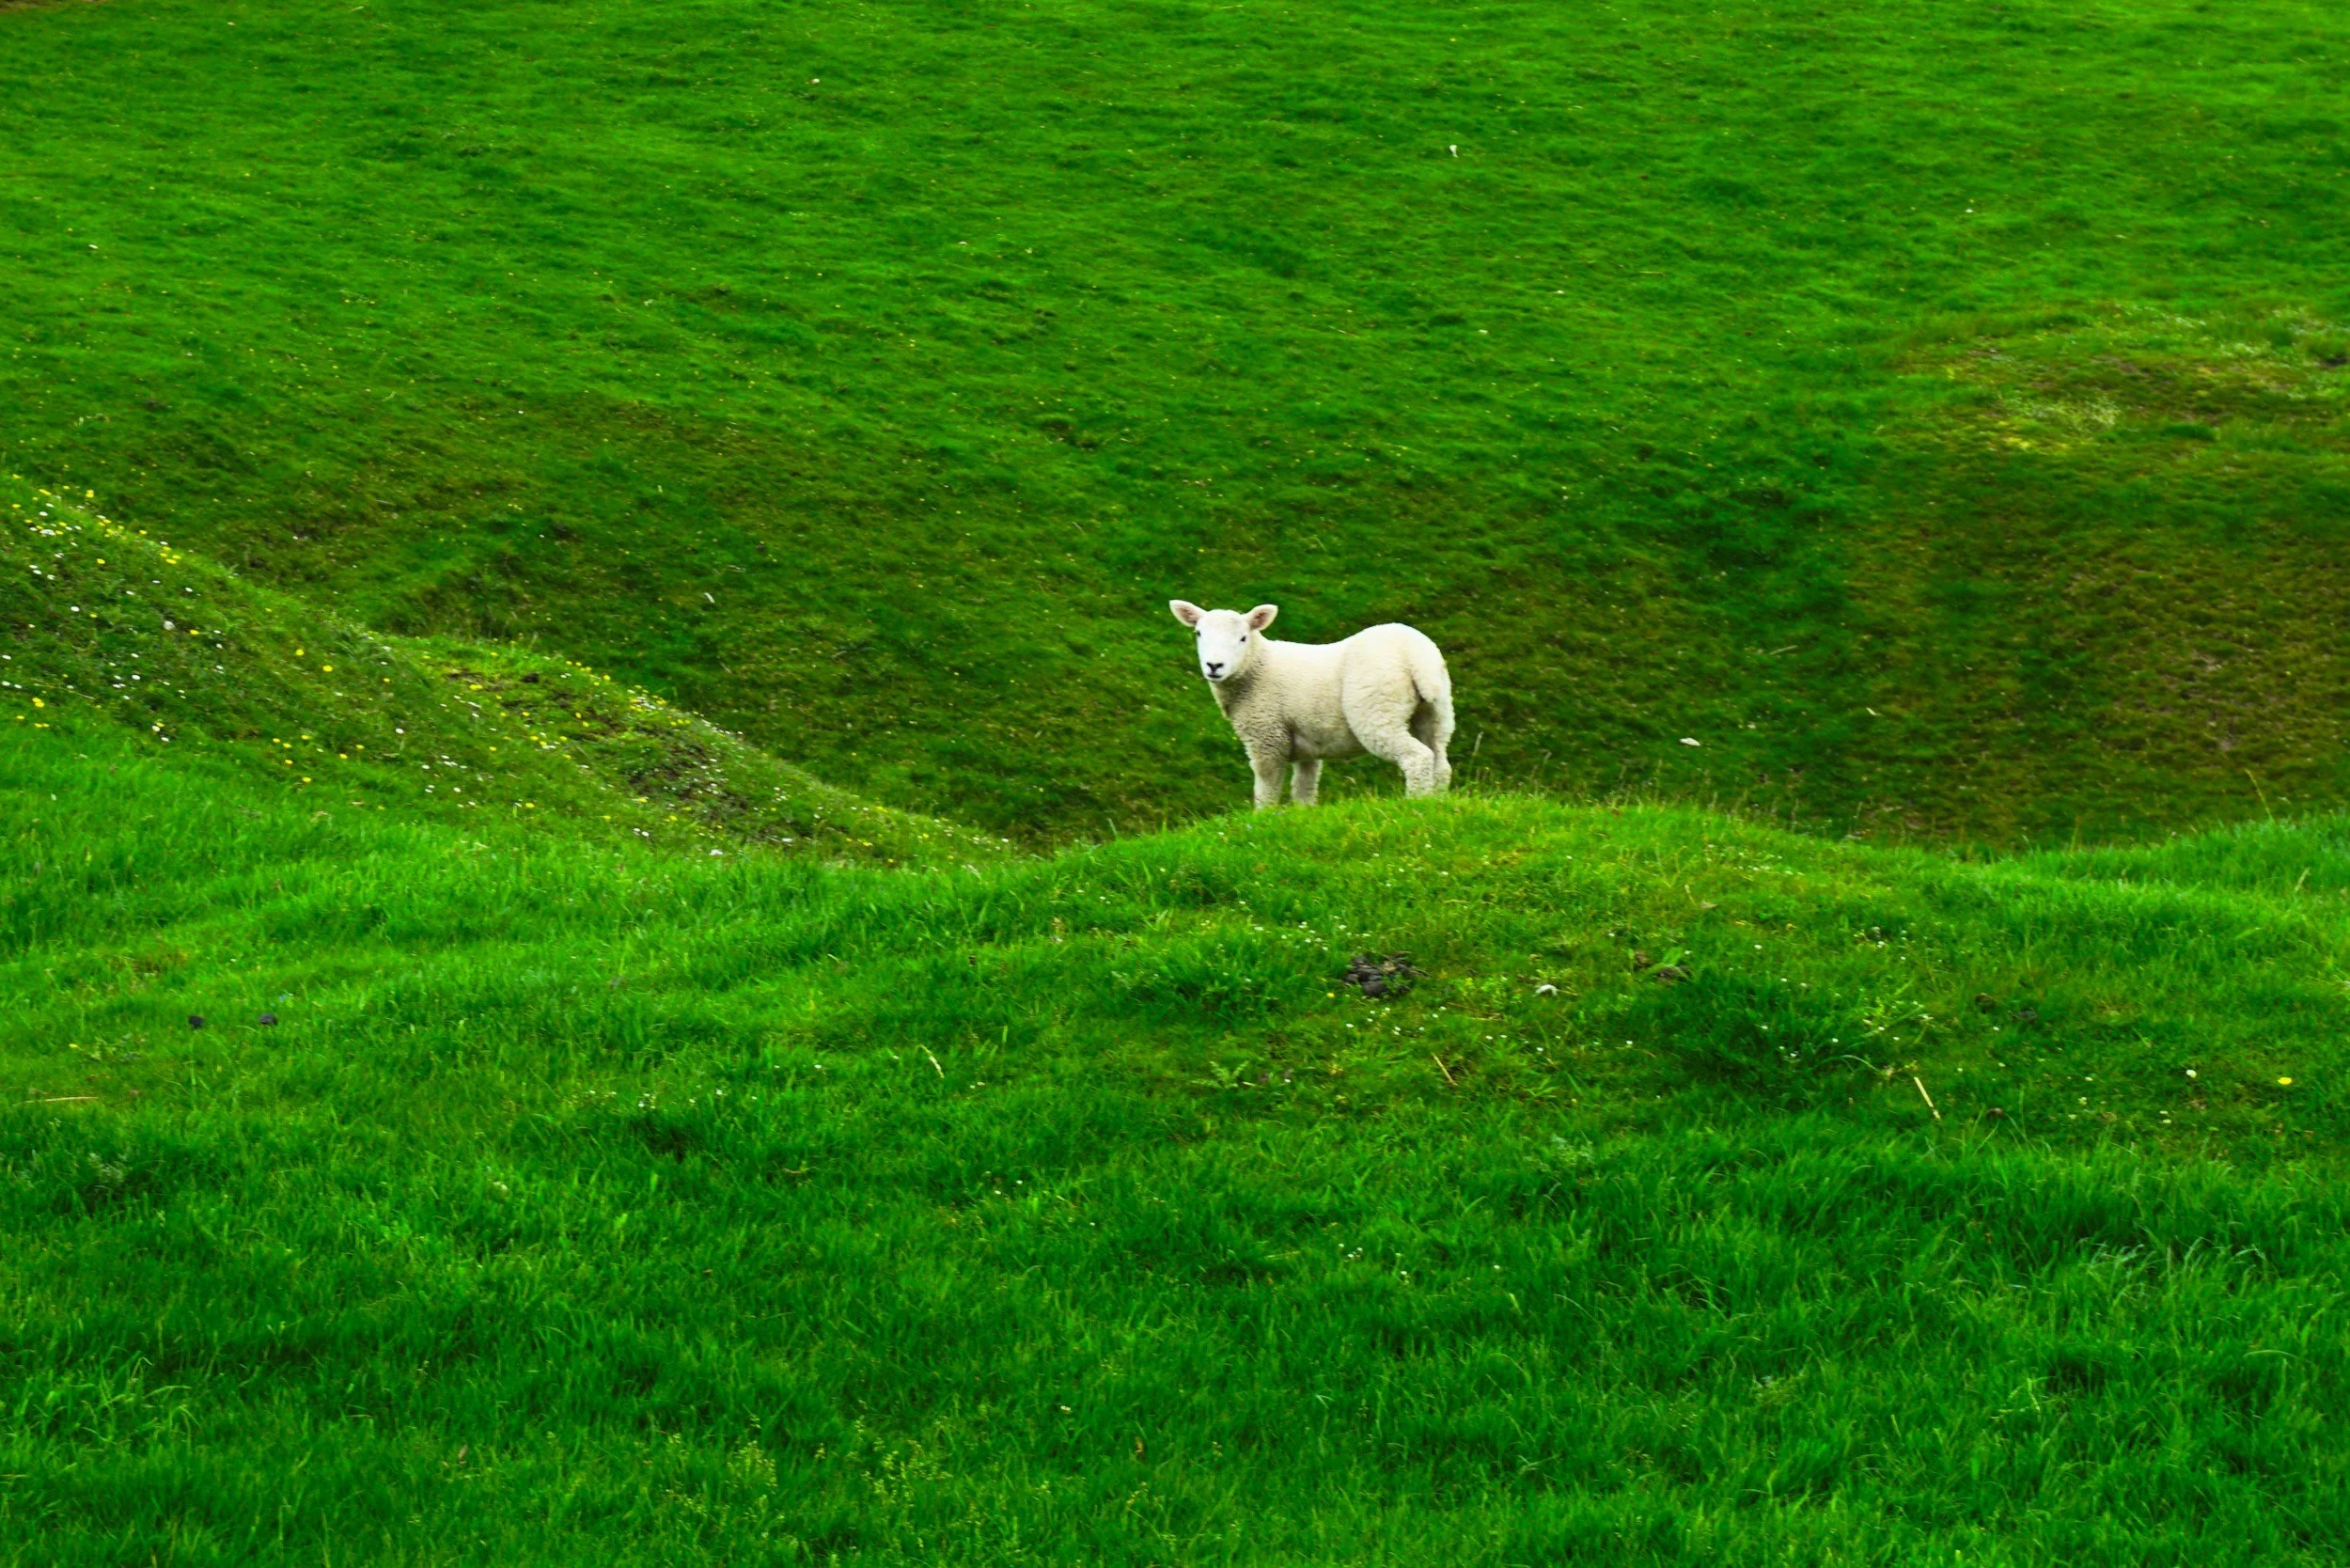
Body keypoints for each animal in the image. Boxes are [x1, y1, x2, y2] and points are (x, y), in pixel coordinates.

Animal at [1168, 600, 1454, 808]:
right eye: (1198, 633)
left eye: (1242, 638)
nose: (1214, 665)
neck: (1257, 669)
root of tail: (1416, 656)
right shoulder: (1306, 743)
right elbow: (1304, 786)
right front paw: (1303, 814)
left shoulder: (1266, 737)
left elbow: (1266, 788)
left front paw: (1263, 819)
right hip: (1437, 710)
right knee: (1440, 762)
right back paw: (1437, 801)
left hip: (1377, 708)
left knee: (1417, 757)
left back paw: (1416, 803)